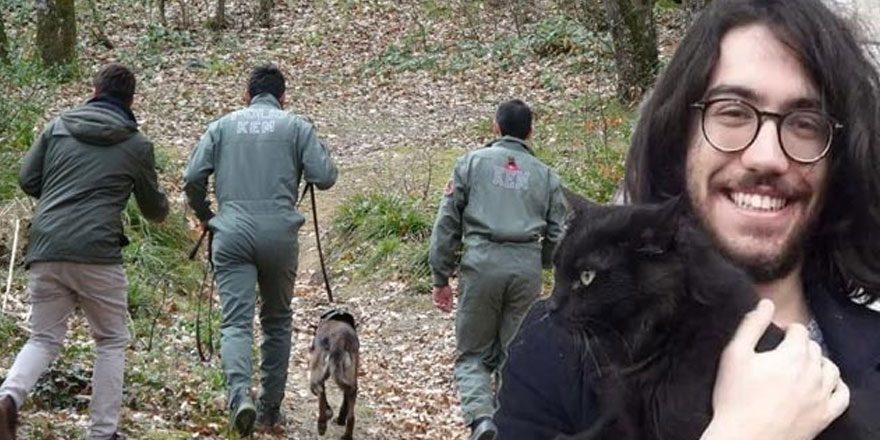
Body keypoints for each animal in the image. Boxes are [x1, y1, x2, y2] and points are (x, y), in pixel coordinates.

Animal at [310, 310, 358, 440]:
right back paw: (347, 435)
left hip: (316, 373)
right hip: (350, 378)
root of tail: (339, 338)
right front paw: (340, 419)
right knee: (351, 413)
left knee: (320, 390)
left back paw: (322, 423)